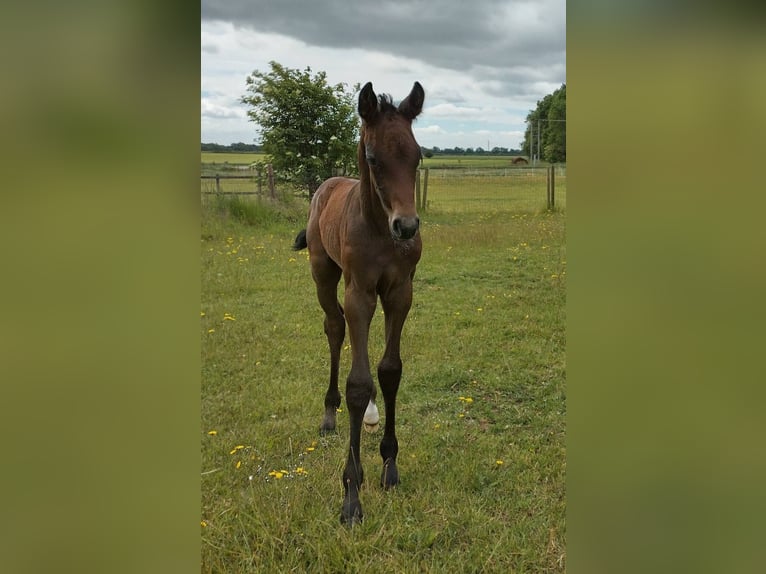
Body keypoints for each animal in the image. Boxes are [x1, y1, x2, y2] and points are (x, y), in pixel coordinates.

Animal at [292, 81, 424, 525]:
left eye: (418, 156)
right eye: (372, 157)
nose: (407, 226)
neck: (380, 231)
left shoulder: (399, 293)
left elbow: (389, 371)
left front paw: (389, 465)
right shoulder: (359, 294)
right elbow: (358, 382)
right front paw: (351, 493)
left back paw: (369, 414)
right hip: (324, 274)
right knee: (334, 328)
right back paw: (329, 414)